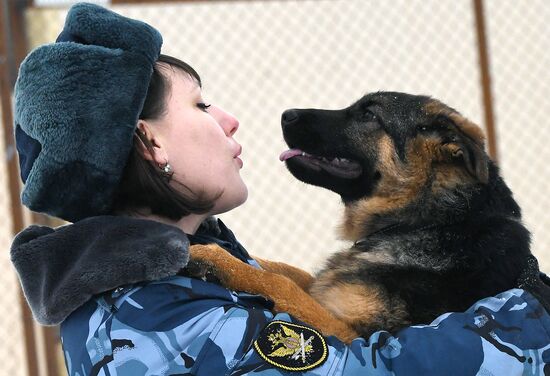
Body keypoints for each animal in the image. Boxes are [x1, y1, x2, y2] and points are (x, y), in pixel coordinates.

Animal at [189, 92, 536, 344]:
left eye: (369, 115)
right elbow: (286, 270)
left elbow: (280, 282)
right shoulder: (325, 288)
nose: (286, 114)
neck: (426, 220)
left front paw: (212, 257)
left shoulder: (354, 336)